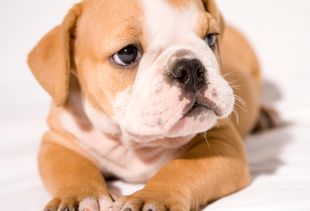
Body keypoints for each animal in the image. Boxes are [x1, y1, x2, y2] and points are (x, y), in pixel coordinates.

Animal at [27, 0, 276, 210]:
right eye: (127, 54)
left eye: (211, 38)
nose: (190, 68)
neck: (135, 144)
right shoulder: (59, 141)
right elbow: (72, 168)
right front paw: (80, 197)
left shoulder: (220, 142)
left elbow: (181, 169)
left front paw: (153, 198)